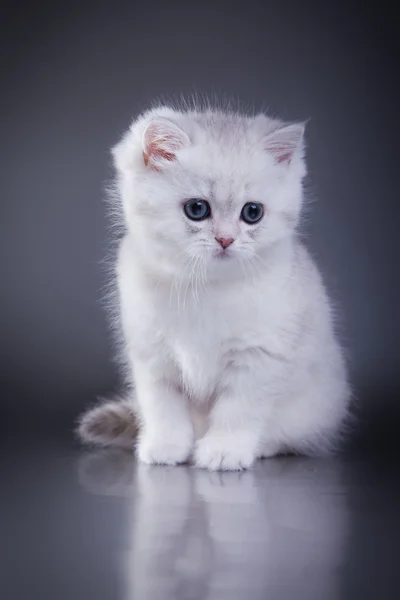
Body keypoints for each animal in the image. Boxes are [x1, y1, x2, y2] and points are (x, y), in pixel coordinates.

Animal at [77, 102, 350, 468]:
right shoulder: (153, 355)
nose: (225, 239)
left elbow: (238, 410)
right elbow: (163, 407)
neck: (205, 286)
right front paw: (166, 447)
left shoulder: (258, 357)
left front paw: (224, 451)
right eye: (197, 209)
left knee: (289, 436)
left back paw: (260, 447)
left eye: (252, 213)